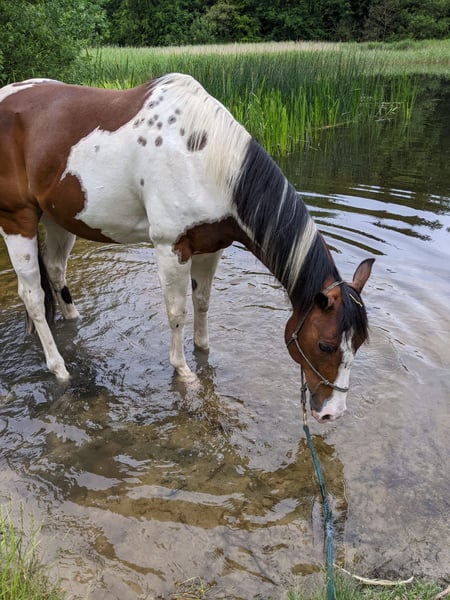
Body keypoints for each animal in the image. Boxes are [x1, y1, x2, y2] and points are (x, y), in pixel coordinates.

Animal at [0, 73, 374, 423]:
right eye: (325, 345)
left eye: (358, 343)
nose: (332, 412)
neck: (206, 160)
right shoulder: (171, 247)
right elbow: (177, 312)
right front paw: (184, 371)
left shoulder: (210, 248)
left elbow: (202, 302)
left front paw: (204, 350)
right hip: (17, 219)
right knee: (32, 296)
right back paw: (59, 368)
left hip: (58, 219)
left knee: (55, 270)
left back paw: (73, 321)